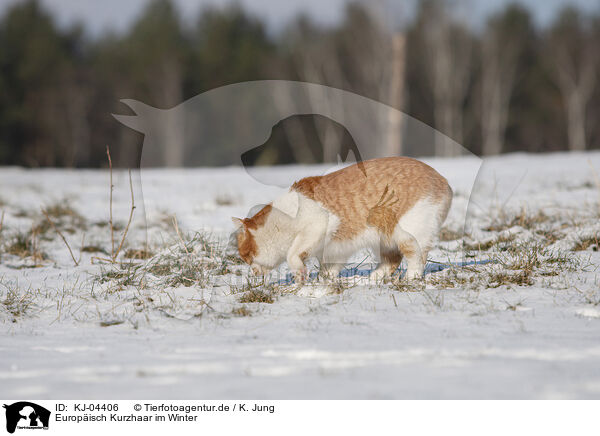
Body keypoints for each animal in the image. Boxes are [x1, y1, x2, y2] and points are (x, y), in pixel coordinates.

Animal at [232, 156, 452, 280]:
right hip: (383, 240)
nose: (251, 271)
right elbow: (329, 268)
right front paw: (324, 281)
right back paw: (372, 278)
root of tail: (444, 182)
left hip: (406, 232)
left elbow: (292, 254)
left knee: (416, 257)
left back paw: (410, 278)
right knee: (392, 260)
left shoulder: (317, 226)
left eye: (245, 256)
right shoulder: (334, 249)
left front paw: (302, 275)